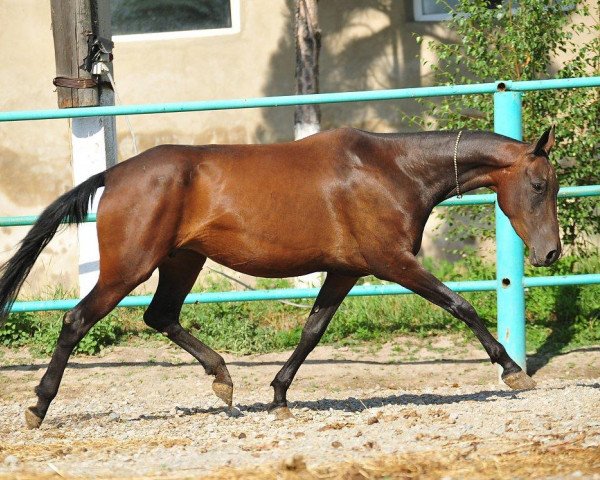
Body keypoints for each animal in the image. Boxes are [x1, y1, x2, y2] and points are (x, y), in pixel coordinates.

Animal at [1, 127, 564, 428]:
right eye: (540, 185)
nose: (550, 253)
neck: (393, 170)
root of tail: (113, 173)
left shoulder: (345, 270)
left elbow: (312, 331)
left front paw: (278, 397)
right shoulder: (392, 262)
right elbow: (460, 305)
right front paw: (514, 371)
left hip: (182, 261)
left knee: (160, 316)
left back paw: (224, 381)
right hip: (129, 267)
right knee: (77, 320)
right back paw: (38, 408)